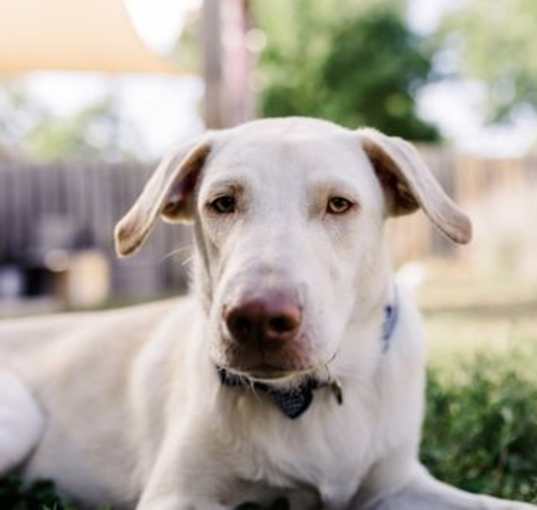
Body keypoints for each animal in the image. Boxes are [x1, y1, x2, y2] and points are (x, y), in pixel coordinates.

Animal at [0, 116, 532, 510]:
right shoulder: (177, 495)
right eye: (222, 203)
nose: (256, 319)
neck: (309, 395)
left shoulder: (397, 484)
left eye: (339, 204)